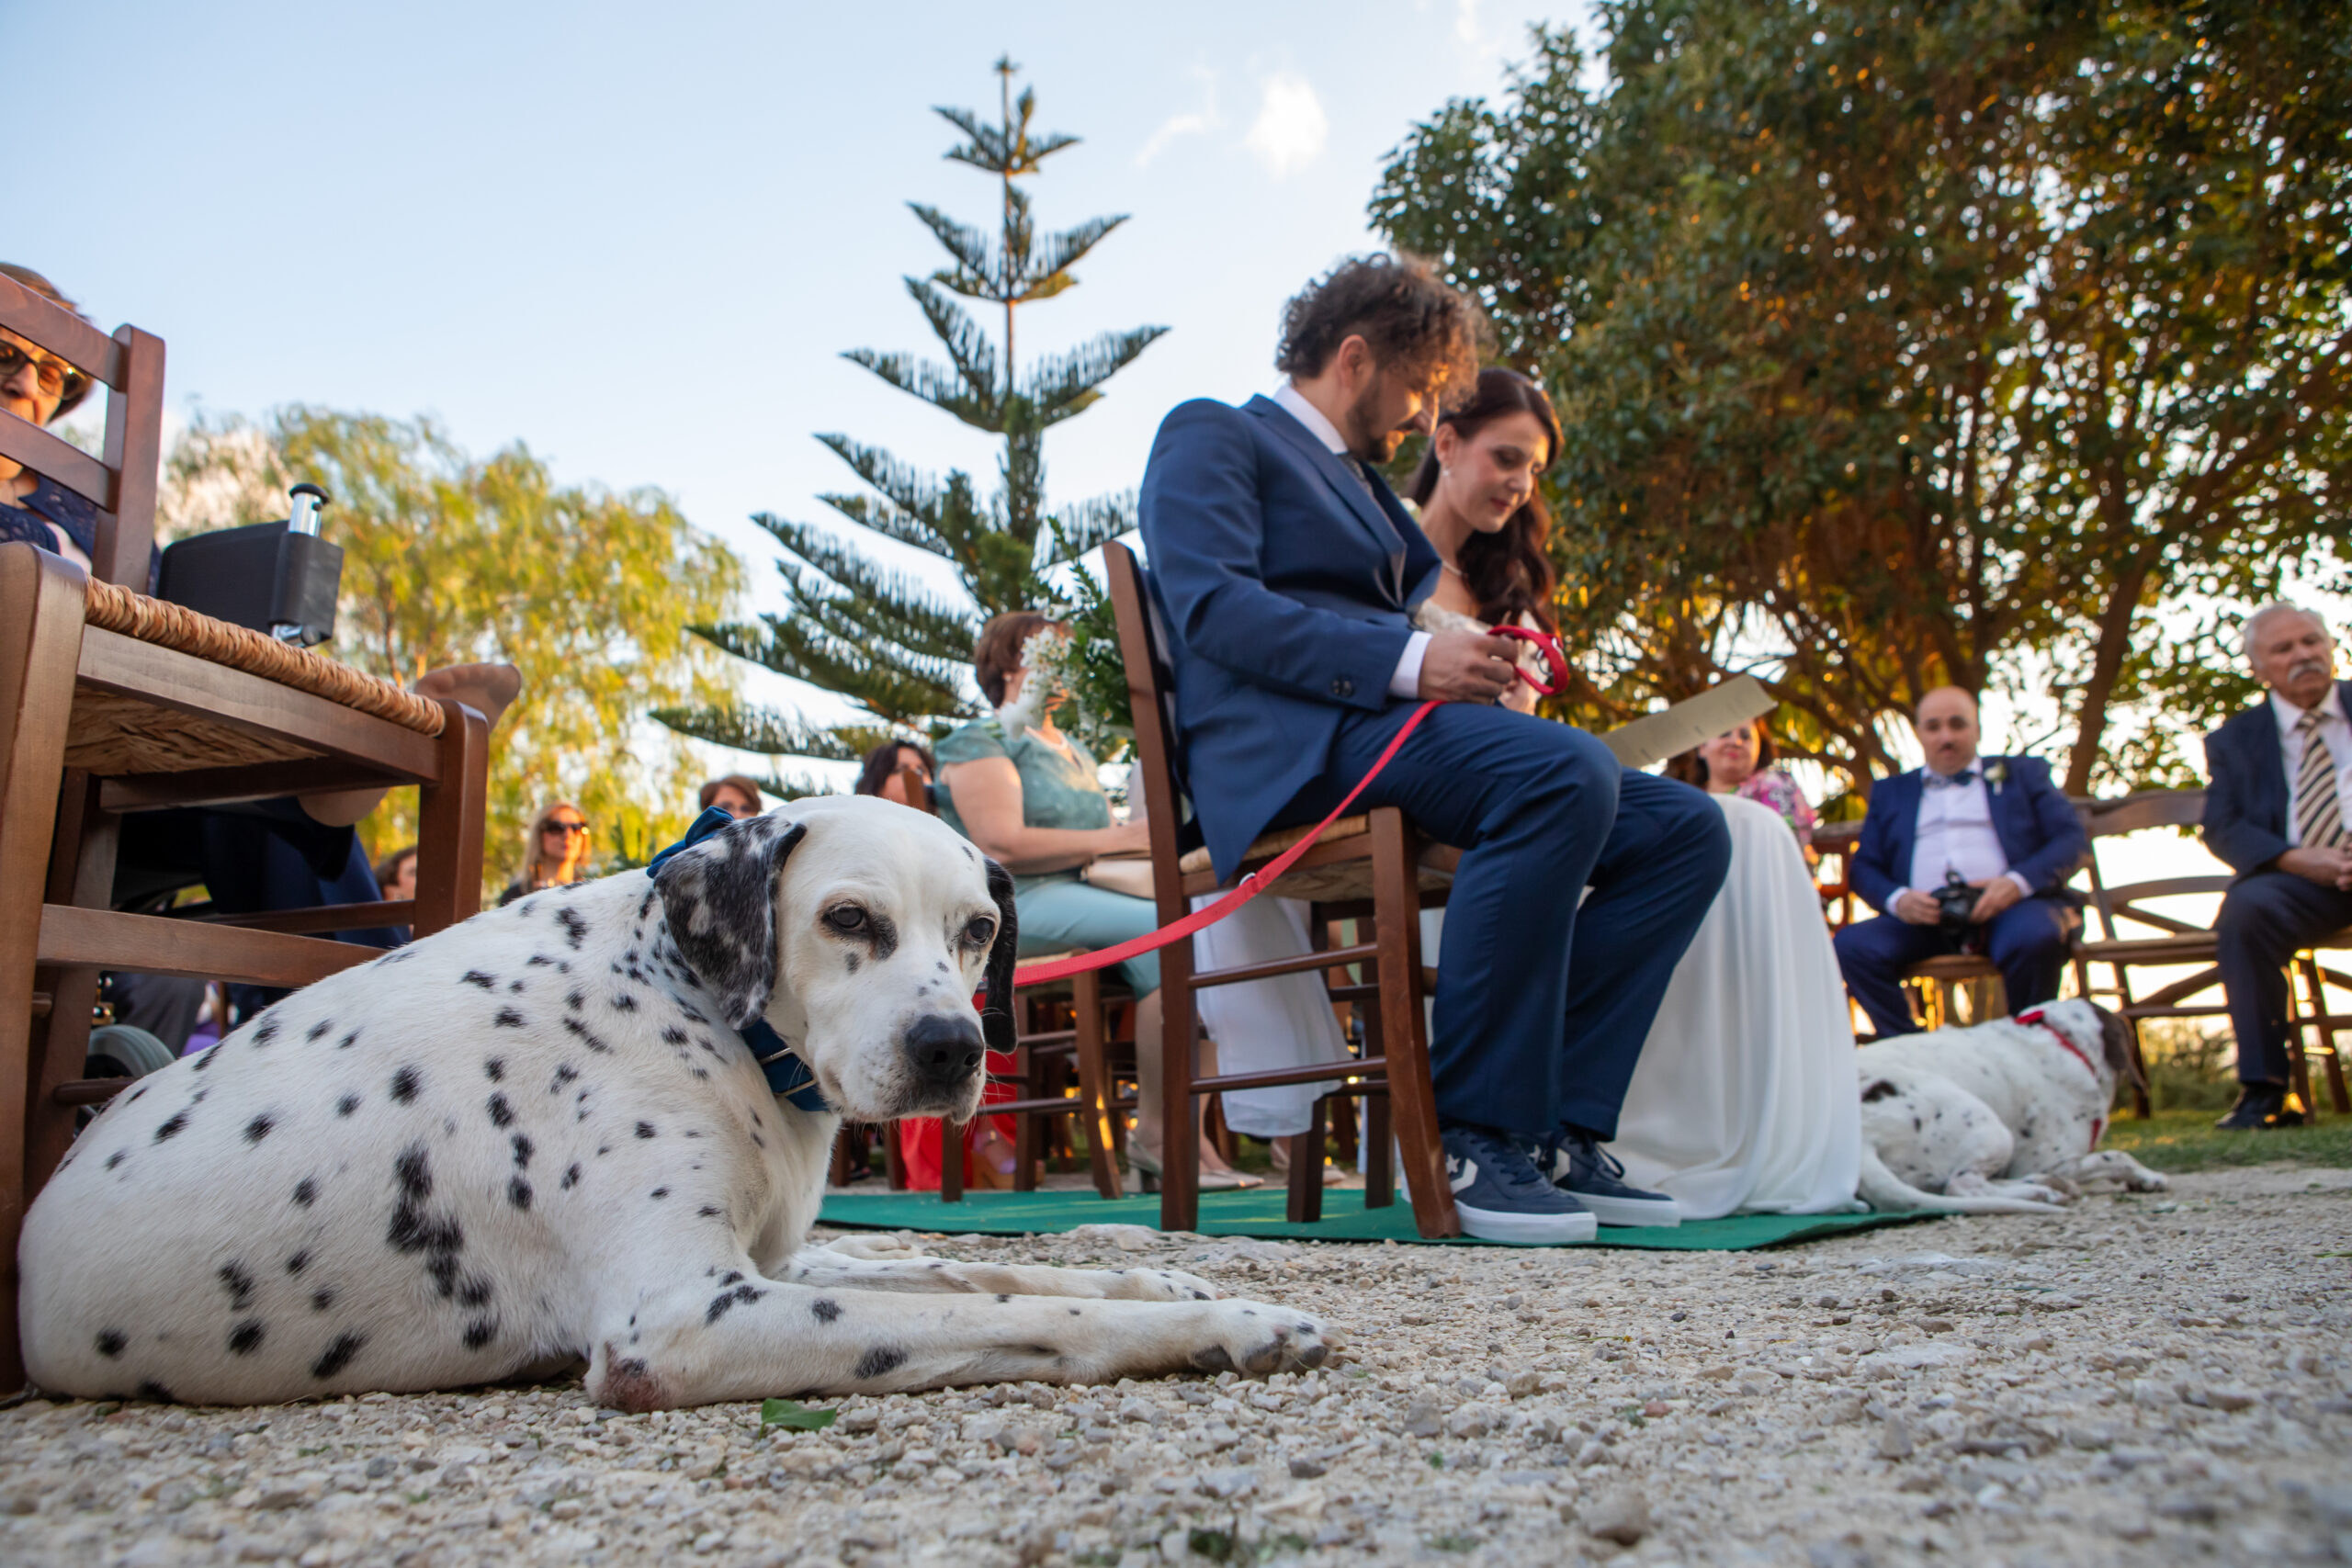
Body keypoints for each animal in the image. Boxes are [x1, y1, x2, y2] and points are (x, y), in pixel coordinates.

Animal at [18, 799, 1326, 1410]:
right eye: (847, 919)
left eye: (976, 932)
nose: (953, 1047)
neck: (700, 1005)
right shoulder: (686, 1317)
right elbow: (1034, 1316)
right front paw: (1229, 1324)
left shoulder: (776, 1260)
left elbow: (986, 1270)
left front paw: (1170, 1279)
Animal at [1853, 1001, 2164, 1222]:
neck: (2063, 1042)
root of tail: (1863, 1141)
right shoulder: (2052, 1160)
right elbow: (2116, 1157)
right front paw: (2148, 1176)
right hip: (1990, 1127)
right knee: (1963, 1185)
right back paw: (2041, 1191)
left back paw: (2050, 1186)